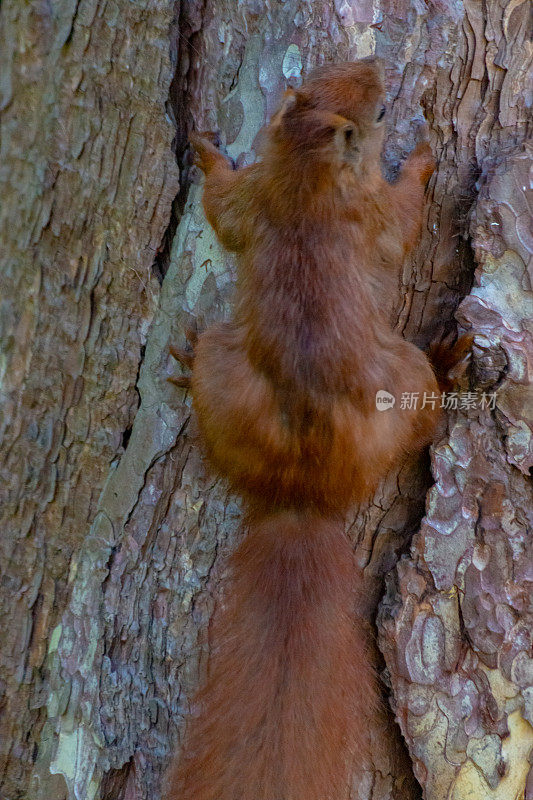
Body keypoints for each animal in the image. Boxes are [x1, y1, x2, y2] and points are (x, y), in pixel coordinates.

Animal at [167, 57, 470, 800]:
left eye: (321, 75)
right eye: (379, 109)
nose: (376, 65)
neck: (305, 174)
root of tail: (302, 494)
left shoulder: (254, 200)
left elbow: (222, 206)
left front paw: (207, 152)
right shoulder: (369, 215)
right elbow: (404, 215)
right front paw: (423, 160)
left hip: (225, 371)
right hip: (404, 379)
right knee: (425, 412)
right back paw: (448, 370)